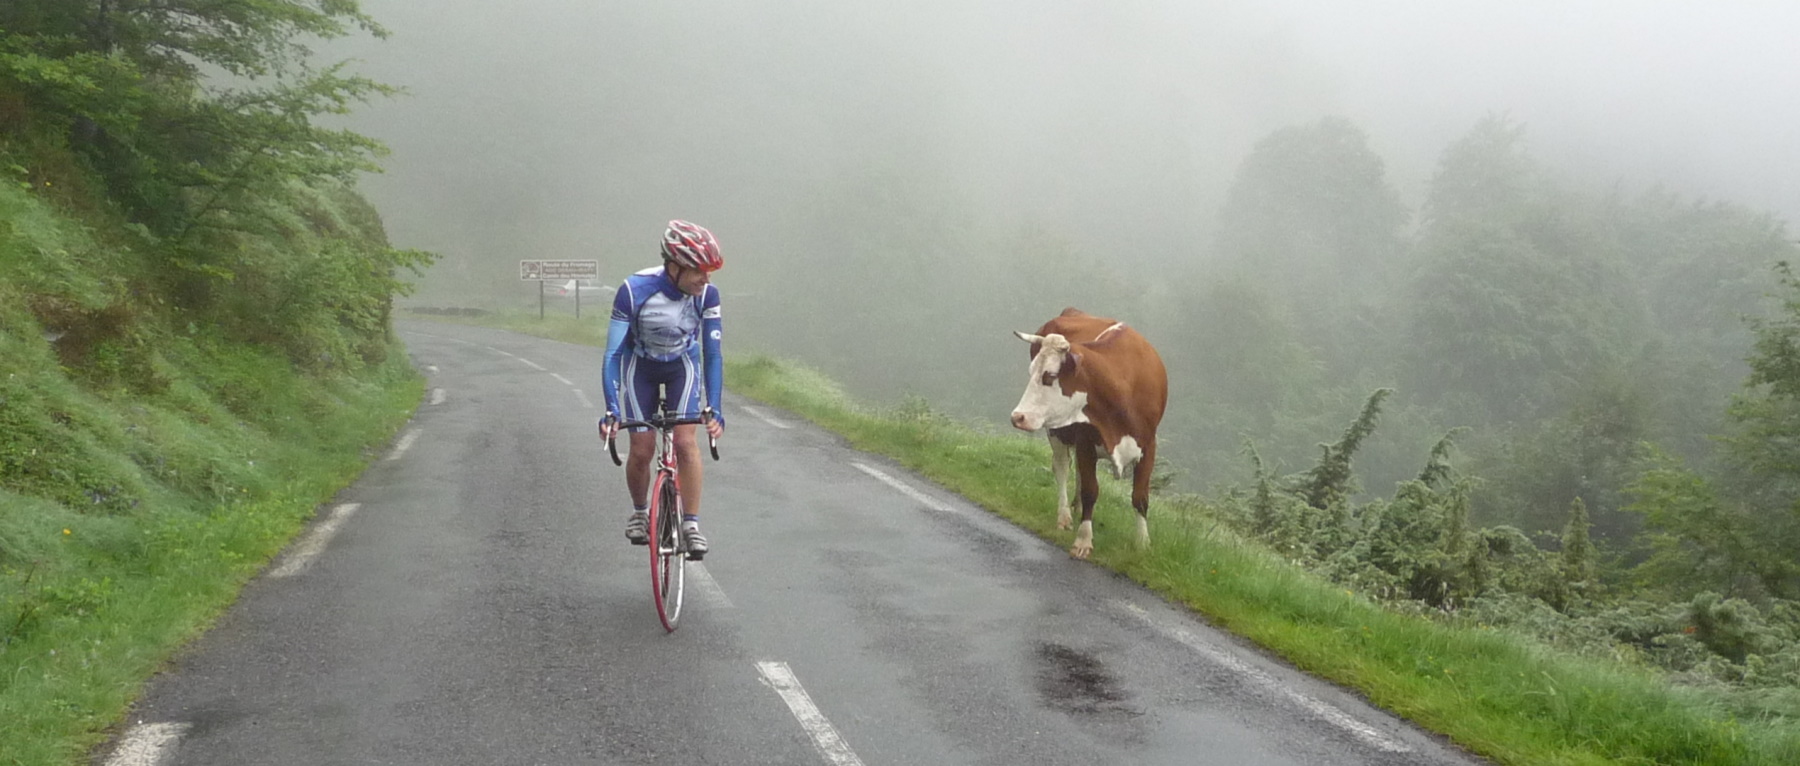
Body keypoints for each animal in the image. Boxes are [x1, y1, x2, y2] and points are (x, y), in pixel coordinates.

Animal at [1015, 307, 1166, 561]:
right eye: (1031, 372)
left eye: (1049, 376)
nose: (1017, 417)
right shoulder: (1085, 439)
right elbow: (1090, 490)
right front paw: (1084, 540)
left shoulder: (1148, 444)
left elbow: (1140, 497)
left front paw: (1143, 544)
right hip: (1056, 429)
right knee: (1062, 467)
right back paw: (1065, 516)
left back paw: (1075, 508)